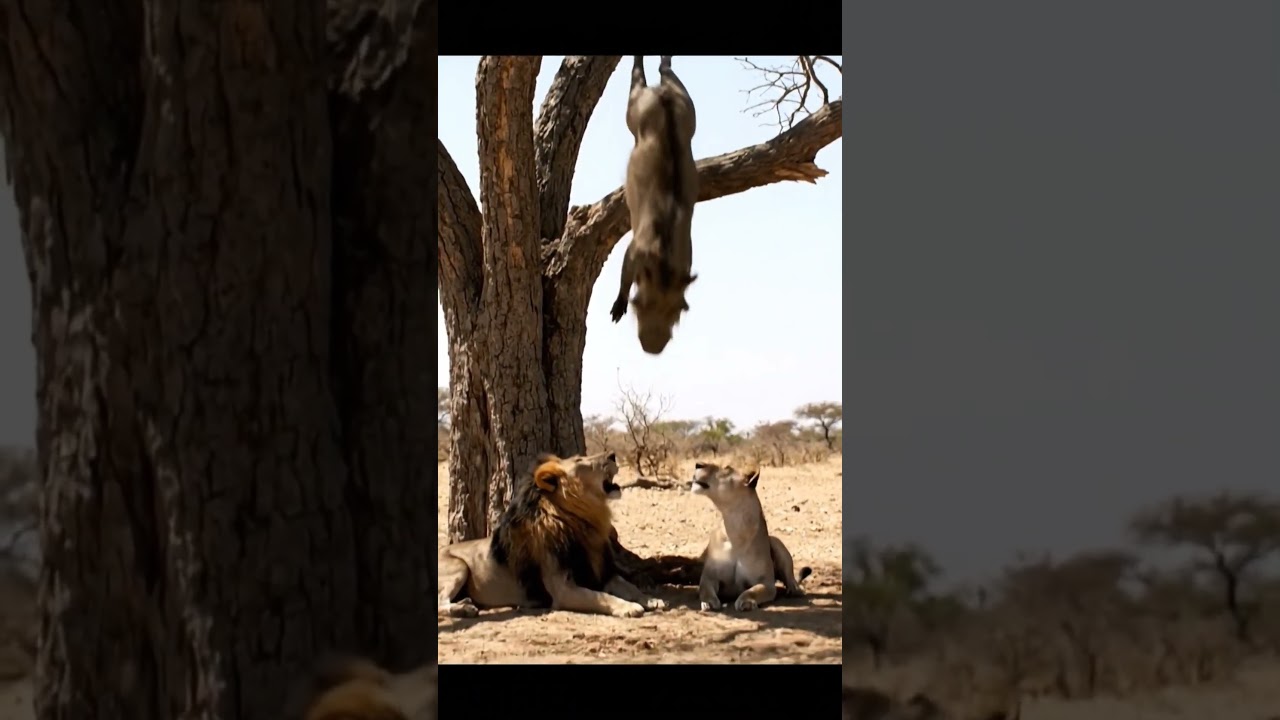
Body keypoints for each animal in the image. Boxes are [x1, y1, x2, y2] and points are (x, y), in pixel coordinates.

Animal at [438, 451, 668, 618]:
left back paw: (466, 603)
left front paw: (649, 599)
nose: (612, 455)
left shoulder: (600, 573)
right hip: (459, 567)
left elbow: (629, 586)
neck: (581, 522)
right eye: (580, 460)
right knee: (440, 603)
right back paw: (464, 609)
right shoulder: (563, 589)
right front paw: (628, 607)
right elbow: (601, 596)